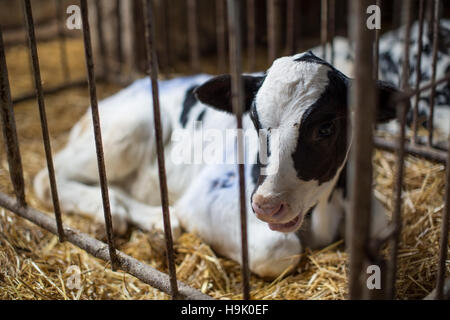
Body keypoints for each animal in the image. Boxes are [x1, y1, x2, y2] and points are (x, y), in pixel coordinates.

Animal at [34, 51, 400, 278]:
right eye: (254, 120)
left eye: (325, 127)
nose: (266, 205)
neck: (322, 215)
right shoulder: (205, 199)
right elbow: (276, 248)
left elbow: (383, 226)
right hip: (125, 131)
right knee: (48, 176)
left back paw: (148, 218)